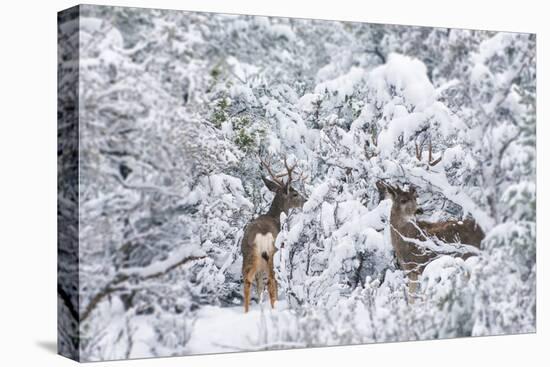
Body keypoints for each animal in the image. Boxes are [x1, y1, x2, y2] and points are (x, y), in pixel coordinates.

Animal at [242, 155, 308, 314]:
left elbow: (259, 286)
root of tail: (261, 234)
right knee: (272, 280)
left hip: (249, 254)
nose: (306, 200)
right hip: (272, 253)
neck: (275, 217)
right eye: (295, 193)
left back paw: (246, 312)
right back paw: (275, 307)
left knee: (248, 280)